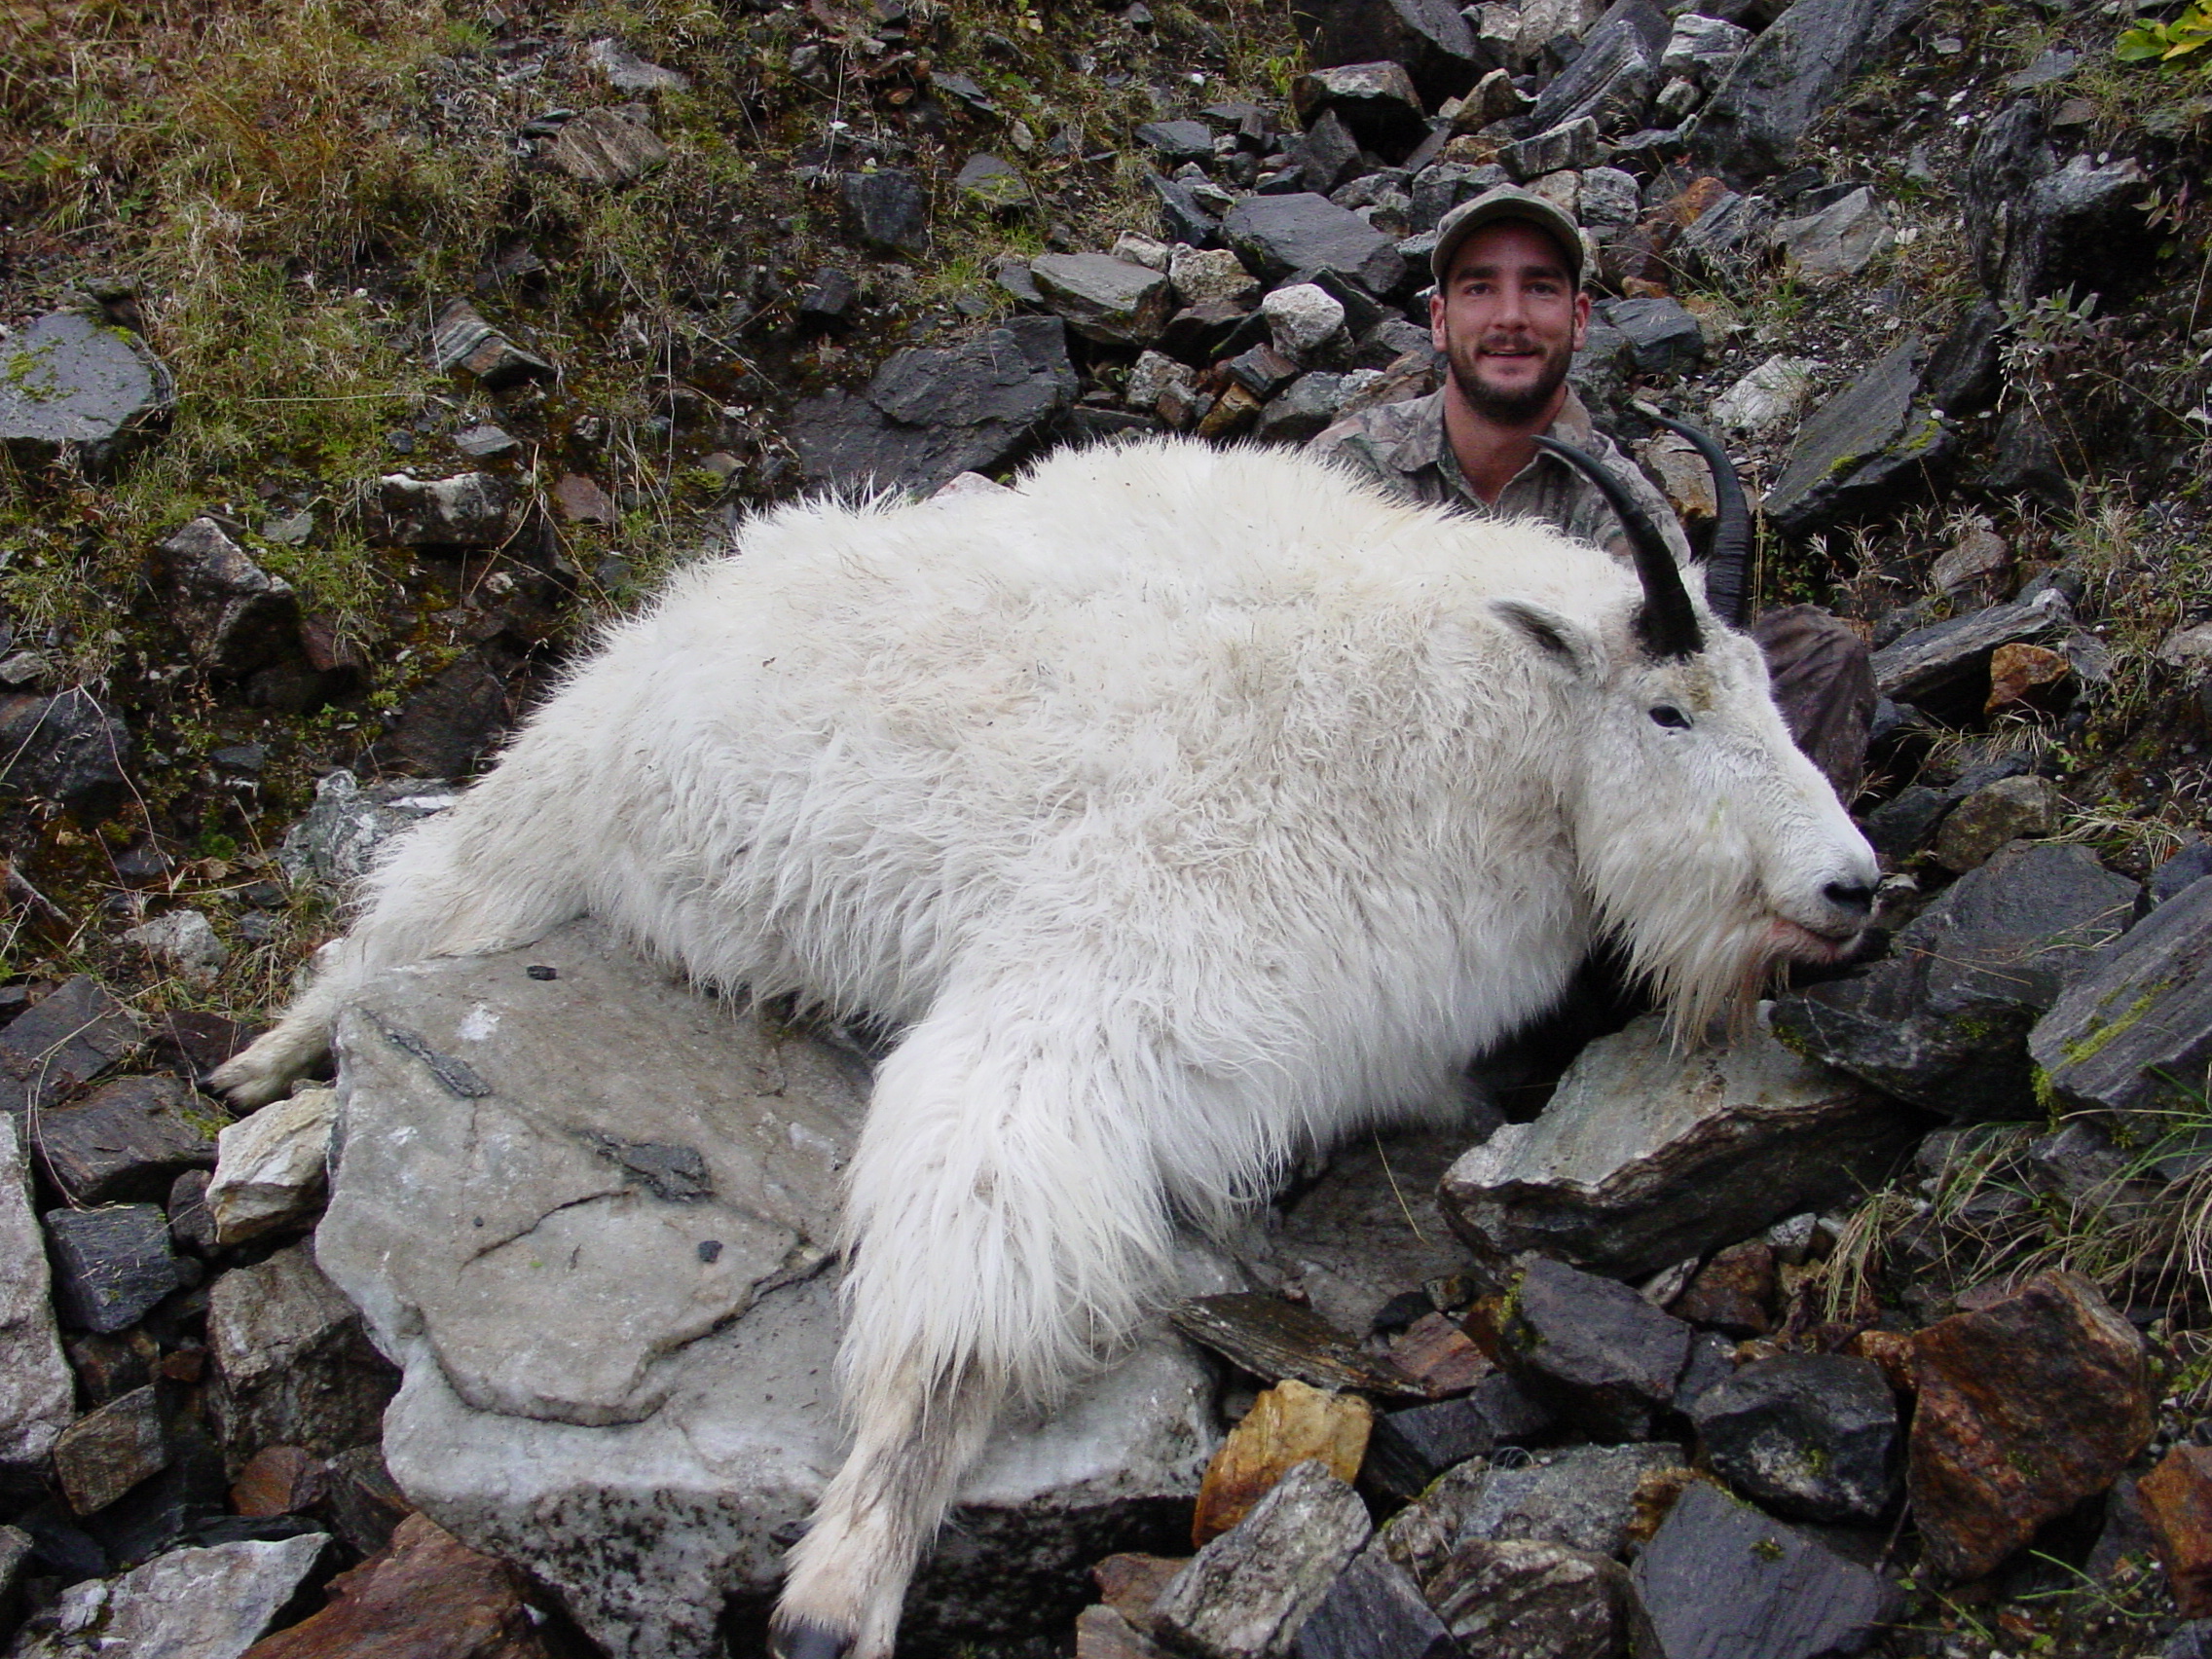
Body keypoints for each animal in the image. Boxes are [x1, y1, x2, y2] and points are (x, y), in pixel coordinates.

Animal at [207, 435, 1875, 1654]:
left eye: (1768, 692)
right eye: (1669, 710)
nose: (1850, 887)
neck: (1450, 722)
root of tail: (699, 588)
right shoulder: (1086, 989)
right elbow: (963, 1297)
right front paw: (837, 1600)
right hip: (546, 808)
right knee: (393, 935)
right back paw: (257, 1094)